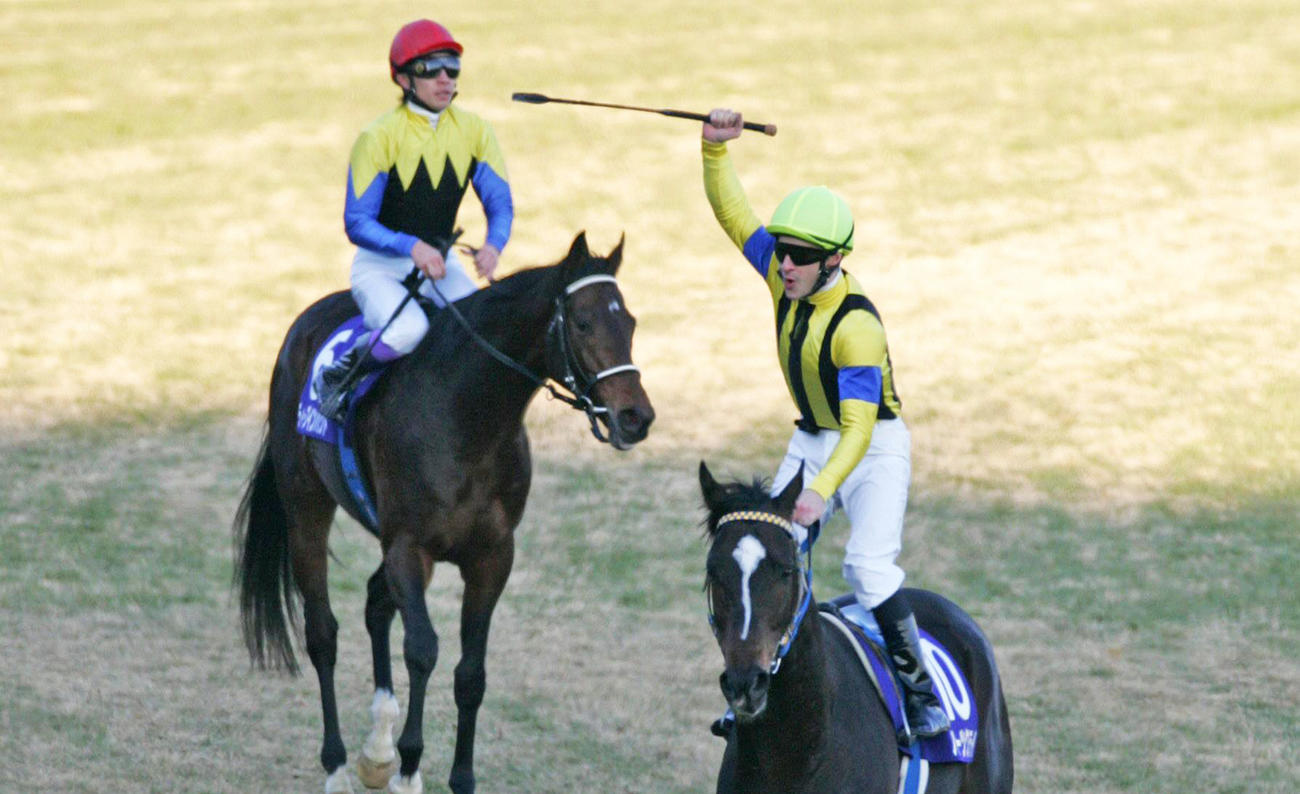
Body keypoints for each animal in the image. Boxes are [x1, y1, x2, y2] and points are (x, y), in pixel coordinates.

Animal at [233, 232, 655, 794]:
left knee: (375, 602)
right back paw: (340, 765)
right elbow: (423, 650)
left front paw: (456, 775)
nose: (636, 417)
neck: (467, 419)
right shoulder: (410, 548)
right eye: (583, 323)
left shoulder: (491, 556)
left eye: (628, 321)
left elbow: (470, 674)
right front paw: (410, 767)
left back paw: (376, 750)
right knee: (323, 633)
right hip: (307, 509)